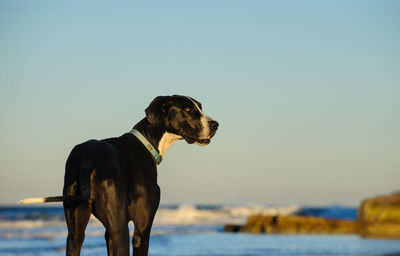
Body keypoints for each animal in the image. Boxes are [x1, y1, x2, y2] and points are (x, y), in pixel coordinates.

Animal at [18, 95, 219, 256]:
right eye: (188, 109)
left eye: (200, 107)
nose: (216, 125)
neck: (147, 142)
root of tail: (88, 159)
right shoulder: (141, 230)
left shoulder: (107, 235)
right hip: (120, 229)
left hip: (75, 233)